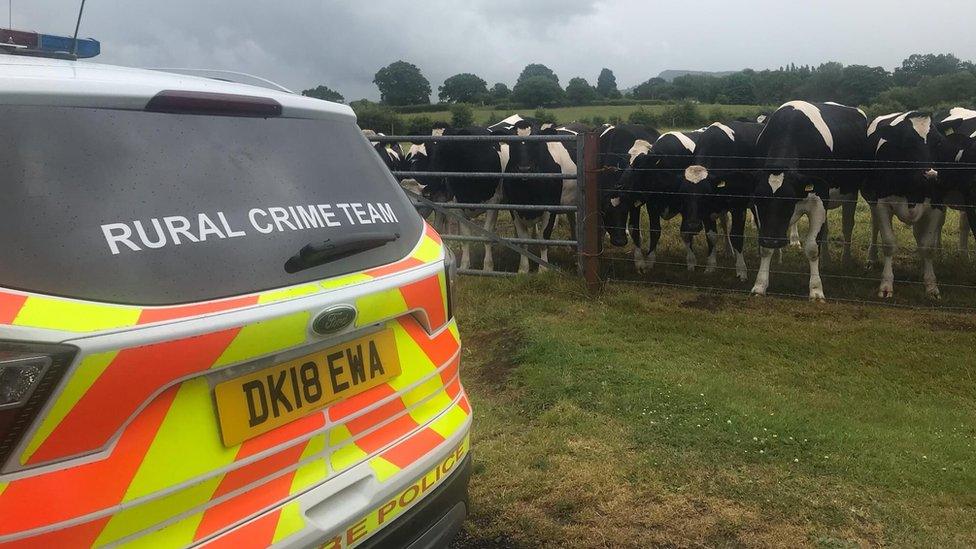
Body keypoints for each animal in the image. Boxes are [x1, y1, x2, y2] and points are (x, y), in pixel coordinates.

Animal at [426, 124, 508, 270]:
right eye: (428, 148)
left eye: (447, 148)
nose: (431, 177)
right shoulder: (458, 203)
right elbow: (465, 236)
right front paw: (464, 265)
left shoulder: (494, 202)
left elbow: (487, 235)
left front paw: (488, 266)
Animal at [508, 121, 584, 272]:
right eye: (513, 143)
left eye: (536, 142)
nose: (524, 168)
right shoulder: (514, 208)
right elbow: (523, 240)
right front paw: (523, 269)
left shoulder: (551, 208)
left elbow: (544, 238)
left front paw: (543, 269)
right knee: (573, 221)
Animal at [616, 129, 700, 274]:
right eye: (626, 162)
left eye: (640, 164)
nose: (621, 186)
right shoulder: (652, 204)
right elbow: (654, 230)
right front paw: (649, 261)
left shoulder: (687, 204)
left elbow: (686, 231)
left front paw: (691, 262)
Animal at [680, 122, 764, 280]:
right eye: (684, 194)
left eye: (705, 193)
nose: (693, 225)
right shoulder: (708, 211)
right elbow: (712, 236)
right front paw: (710, 266)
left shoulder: (738, 207)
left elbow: (737, 236)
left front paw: (741, 270)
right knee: (725, 223)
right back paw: (729, 251)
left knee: (759, 223)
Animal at [752, 100, 864, 302]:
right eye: (760, 199)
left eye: (788, 201)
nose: (773, 241)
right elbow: (764, 247)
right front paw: (760, 285)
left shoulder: (819, 200)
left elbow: (812, 248)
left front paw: (816, 290)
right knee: (826, 230)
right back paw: (826, 260)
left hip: (851, 193)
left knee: (847, 226)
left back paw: (845, 260)